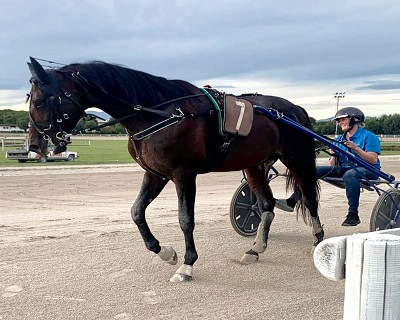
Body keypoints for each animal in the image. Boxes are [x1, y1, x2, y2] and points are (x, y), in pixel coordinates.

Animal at [26, 57, 324, 282]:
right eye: (30, 99)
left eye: (39, 101)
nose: (34, 144)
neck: (161, 114)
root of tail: (294, 108)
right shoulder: (155, 174)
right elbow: (136, 212)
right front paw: (165, 252)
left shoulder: (184, 175)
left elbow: (185, 220)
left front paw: (187, 265)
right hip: (253, 165)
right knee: (267, 205)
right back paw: (256, 249)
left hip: (297, 158)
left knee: (309, 198)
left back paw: (318, 239)